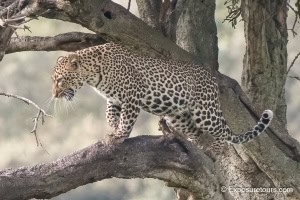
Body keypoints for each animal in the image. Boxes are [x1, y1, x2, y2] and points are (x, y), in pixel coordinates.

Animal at [52, 43, 274, 156]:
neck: (93, 74)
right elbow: (110, 115)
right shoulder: (114, 99)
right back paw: (196, 147)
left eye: (60, 80)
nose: (54, 94)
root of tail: (211, 77)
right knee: (197, 133)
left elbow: (126, 120)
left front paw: (119, 136)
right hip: (179, 116)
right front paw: (113, 130)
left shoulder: (132, 97)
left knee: (222, 132)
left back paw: (216, 150)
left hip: (204, 111)